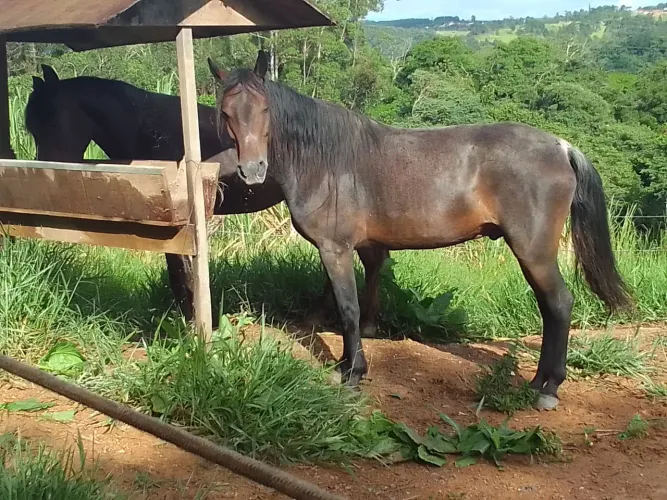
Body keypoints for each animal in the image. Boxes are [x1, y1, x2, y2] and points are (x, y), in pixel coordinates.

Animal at [208, 50, 633, 410]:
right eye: (226, 113)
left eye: (265, 109)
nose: (252, 170)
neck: (325, 160)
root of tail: (561, 147)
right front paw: (347, 364)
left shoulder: (335, 248)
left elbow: (348, 308)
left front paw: (353, 374)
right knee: (549, 308)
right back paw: (538, 382)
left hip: (534, 251)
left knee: (559, 305)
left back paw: (549, 388)